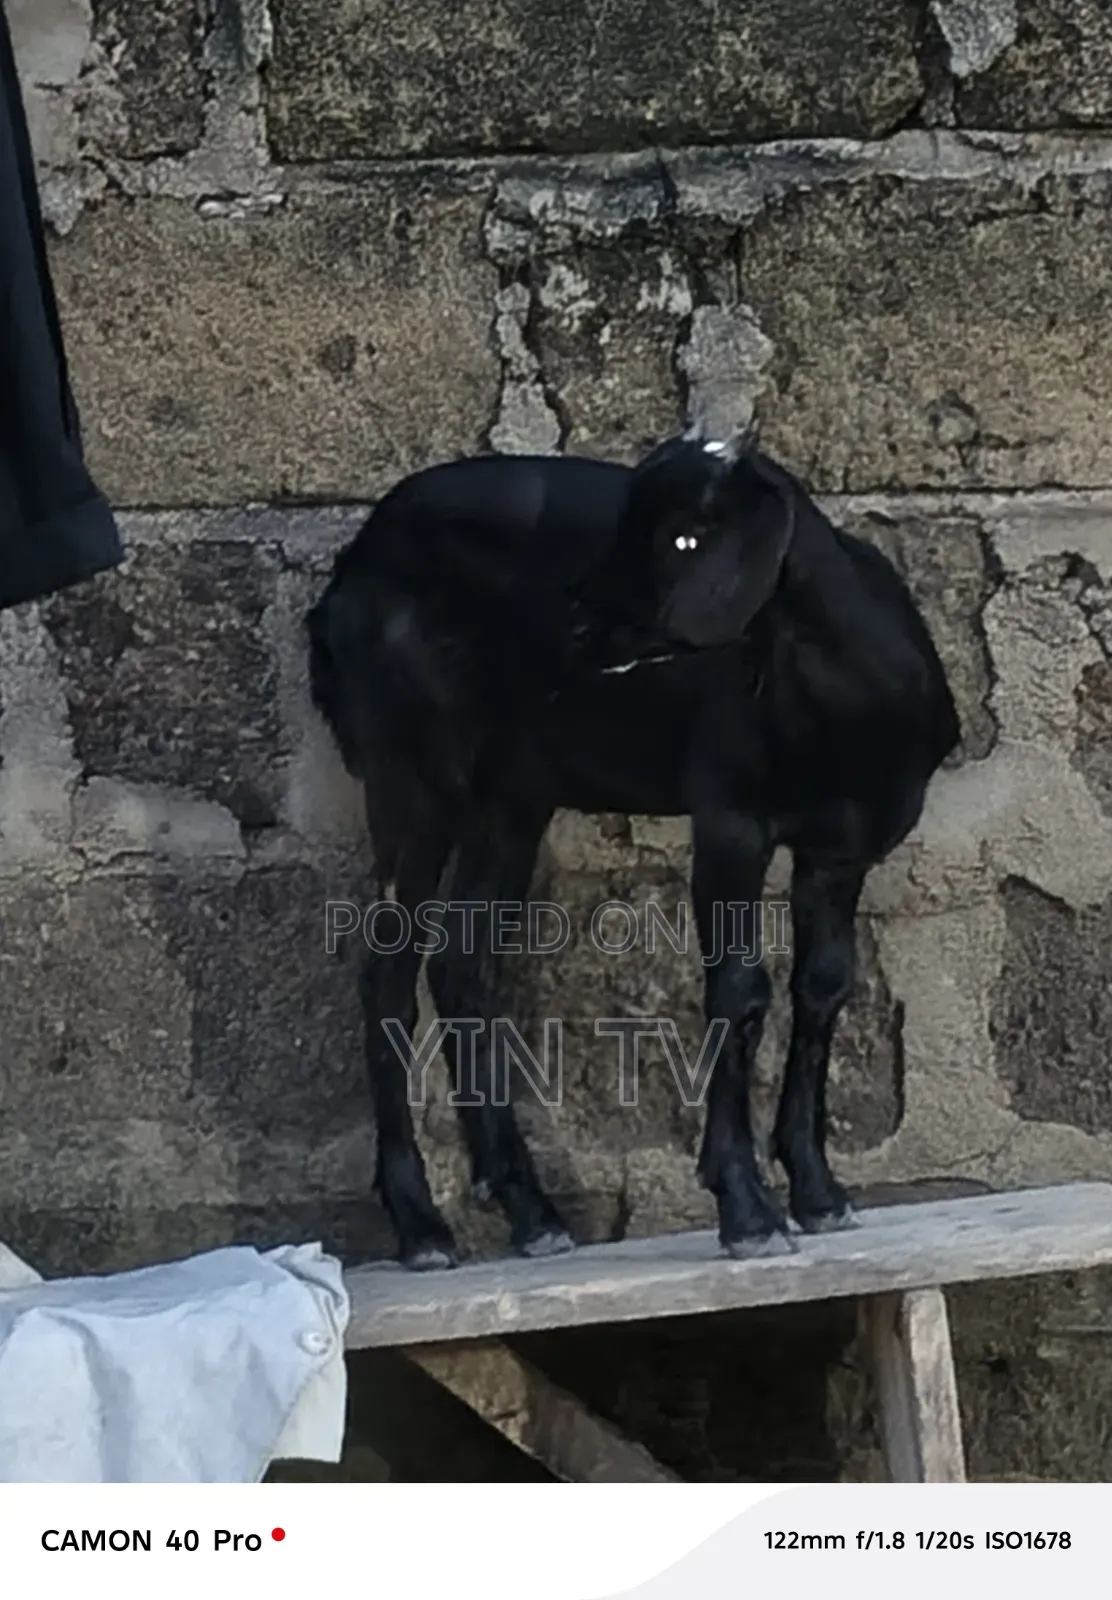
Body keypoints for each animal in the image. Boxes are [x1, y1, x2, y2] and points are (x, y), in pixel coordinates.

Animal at [307, 431, 960, 1269]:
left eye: (685, 537)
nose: (573, 622)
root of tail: (349, 571)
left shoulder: (840, 850)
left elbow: (823, 988)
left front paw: (819, 1194)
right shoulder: (730, 817)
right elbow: (740, 992)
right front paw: (747, 1208)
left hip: (510, 795)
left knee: (461, 967)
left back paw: (532, 1212)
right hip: (411, 772)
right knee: (387, 974)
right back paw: (422, 1227)